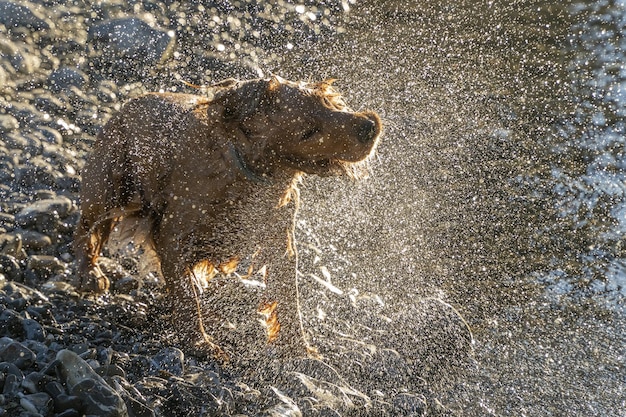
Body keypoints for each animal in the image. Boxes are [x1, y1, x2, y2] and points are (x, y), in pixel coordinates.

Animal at [72, 74, 380, 354]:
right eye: (308, 131)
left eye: (325, 102)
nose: (369, 126)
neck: (249, 176)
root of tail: (129, 103)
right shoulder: (173, 236)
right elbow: (185, 294)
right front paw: (200, 342)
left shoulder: (279, 237)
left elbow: (288, 296)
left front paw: (299, 349)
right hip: (106, 188)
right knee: (85, 230)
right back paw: (90, 274)